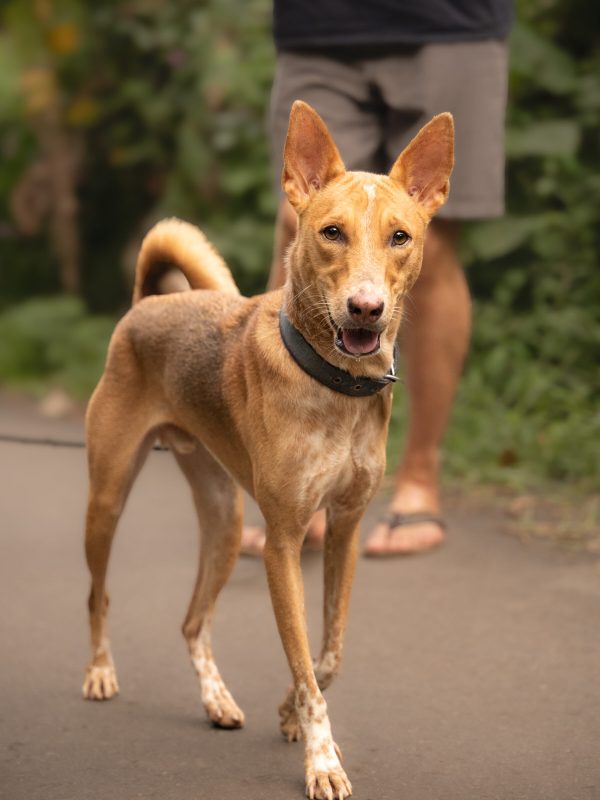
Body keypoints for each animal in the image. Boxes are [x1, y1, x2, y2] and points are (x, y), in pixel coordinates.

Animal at [82, 101, 452, 800]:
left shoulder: (344, 531)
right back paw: (98, 672)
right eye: (331, 232)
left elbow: (327, 654)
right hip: (108, 498)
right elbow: (306, 664)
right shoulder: (283, 541)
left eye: (400, 237)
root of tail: (151, 302)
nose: (367, 308)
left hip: (226, 524)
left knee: (193, 623)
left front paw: (288, 715)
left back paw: (216, 699)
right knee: (99, 595)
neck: (335, 389)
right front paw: (322, 759)